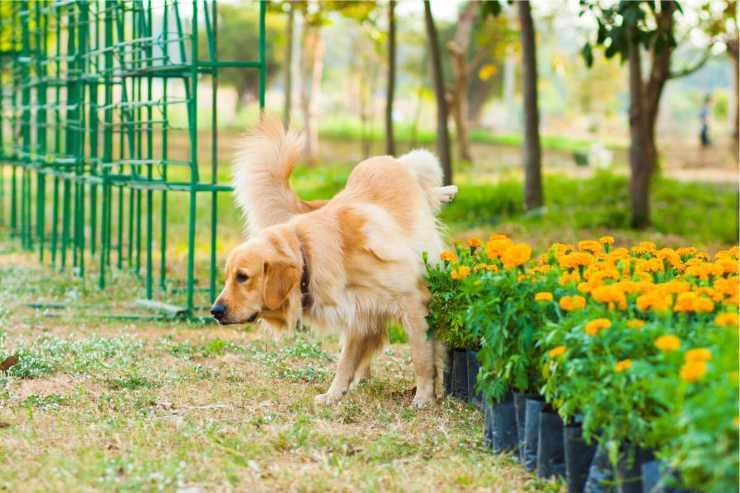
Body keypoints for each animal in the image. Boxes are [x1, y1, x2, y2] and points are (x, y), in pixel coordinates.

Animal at [211, 117, 456, 406]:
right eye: (228, 277)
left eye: (242, 277)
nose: (215, 311)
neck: (308, 253)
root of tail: (383, 160)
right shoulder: (360, 313)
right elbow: (345, 361)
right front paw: (333, 394)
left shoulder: (413, 303)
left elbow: (421, 356)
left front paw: (424, 396)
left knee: (423, 169)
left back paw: (447, 190)